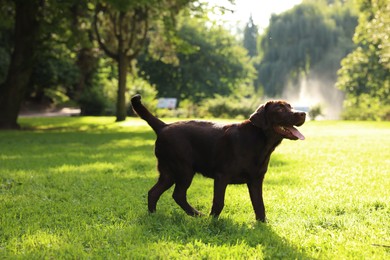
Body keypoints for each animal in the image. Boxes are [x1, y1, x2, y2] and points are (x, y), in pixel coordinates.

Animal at [131, 94, 304, 220]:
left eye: (290, 106)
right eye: (279, 109)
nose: (303, 113)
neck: (260, 142)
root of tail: (164, 126)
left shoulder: (256, 180)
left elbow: (259, 204)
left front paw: (262, 225)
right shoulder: (222, 176)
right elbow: (219, 202)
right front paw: (212, 221)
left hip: (169, 172)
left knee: (154, 192)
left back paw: (154, 216)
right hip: (183, 169)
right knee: (178, 194)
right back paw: (197, 215)